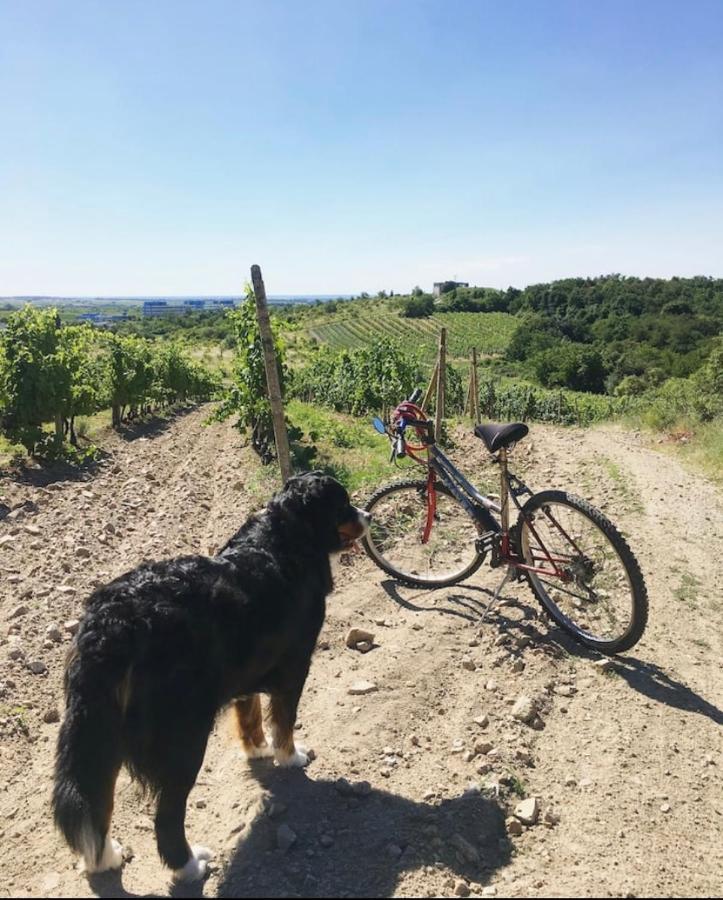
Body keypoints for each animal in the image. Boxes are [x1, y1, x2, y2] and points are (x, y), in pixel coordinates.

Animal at [53, 474, 370, 884]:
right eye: (343, 504)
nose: (368, 515)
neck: (286, 537)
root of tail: (113, 624)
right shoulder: (294, 665)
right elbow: (284, 720)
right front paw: (289, 756)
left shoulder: (247, 669)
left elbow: (250, 715)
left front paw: (258, 749)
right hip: (183, 739)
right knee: (166, 817)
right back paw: (189, 865)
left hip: (100, 737)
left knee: (97, 803)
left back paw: (104, 859)